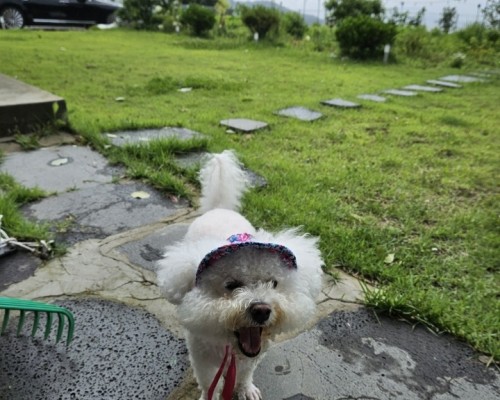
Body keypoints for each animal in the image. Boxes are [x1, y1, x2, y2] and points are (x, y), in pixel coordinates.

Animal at [156, 151, 324, 400]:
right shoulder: (202, 358)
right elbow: (209, 383)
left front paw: (246, 390)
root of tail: (219, 207)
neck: (230, 343)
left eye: (273, 283)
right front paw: (209, 395)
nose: (262, 310)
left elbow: (245, 374)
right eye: (232, 285)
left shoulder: (251, 356)